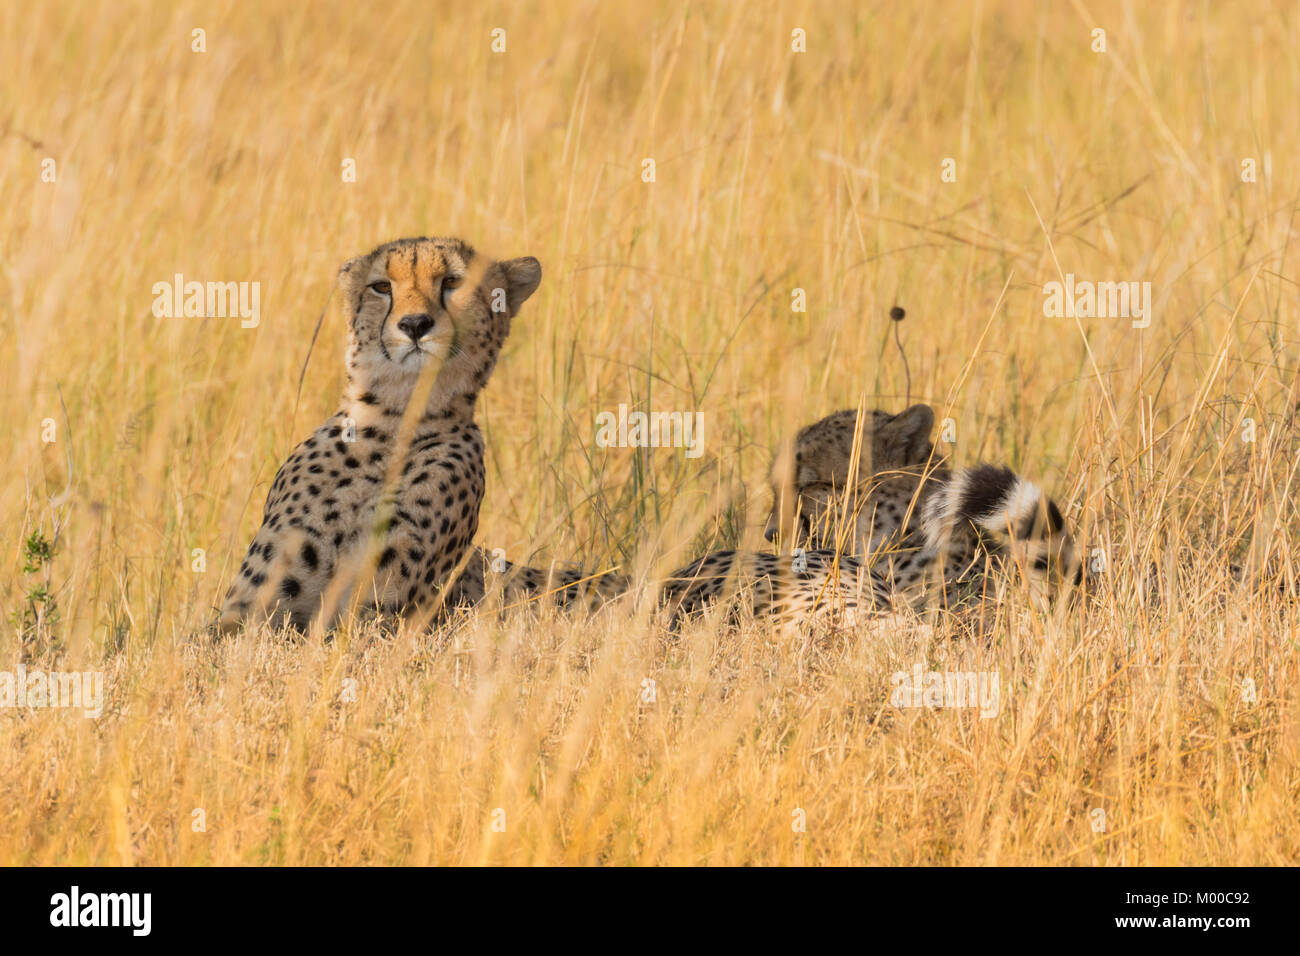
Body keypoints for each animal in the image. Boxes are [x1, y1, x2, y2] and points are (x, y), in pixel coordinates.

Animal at [215, 235, 540, 632]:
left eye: (452, 282)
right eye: (382, 287)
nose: (415, 324)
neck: (391, 422)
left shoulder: (382, 612)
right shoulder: (248, 610)